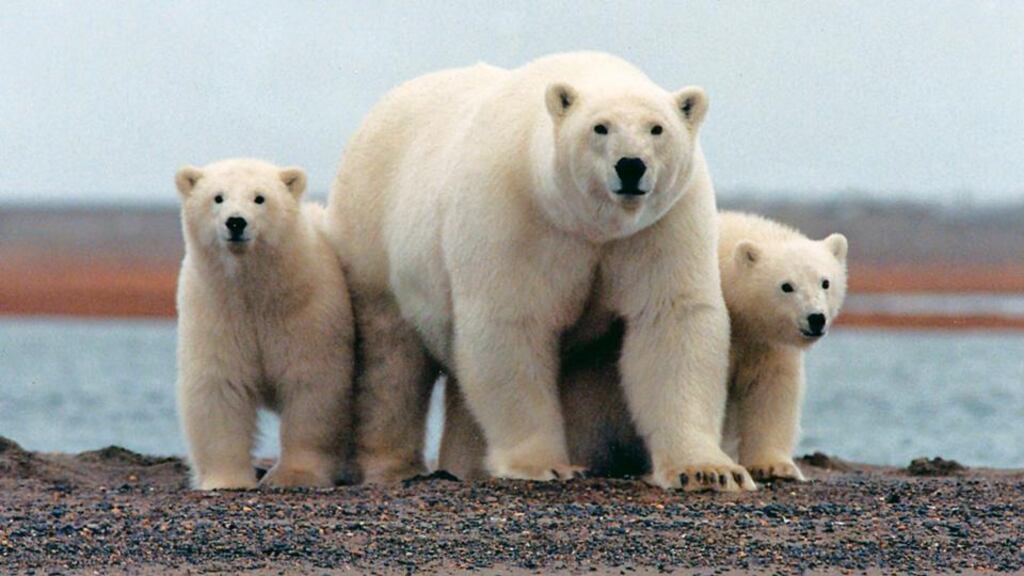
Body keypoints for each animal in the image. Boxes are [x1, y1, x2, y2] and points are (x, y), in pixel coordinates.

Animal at [175, 158, 355, 490]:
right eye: (218, 197)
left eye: (260, 198)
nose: (235, 222)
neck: (256, 292)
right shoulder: (216, 311)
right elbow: (220, 386)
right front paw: (226, 480)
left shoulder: (307, 313)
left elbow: (312, 386)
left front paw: (294, 476)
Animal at [327, 51, 754, 491]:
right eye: (600, 127)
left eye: (657, 128)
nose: (631, 166)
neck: (589, 224)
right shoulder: (517, 215)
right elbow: (512, 324)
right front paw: (543, 464)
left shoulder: (661, 225)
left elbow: (671, 319)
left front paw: (708, 470)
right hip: (373, 235)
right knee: (390, 360)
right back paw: (393, 466)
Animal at [439, 211, 849, 485]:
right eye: (786, 286)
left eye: (825, 282)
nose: (815, 319)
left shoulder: (764, 343)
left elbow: (772, 391)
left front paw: (774, 466)